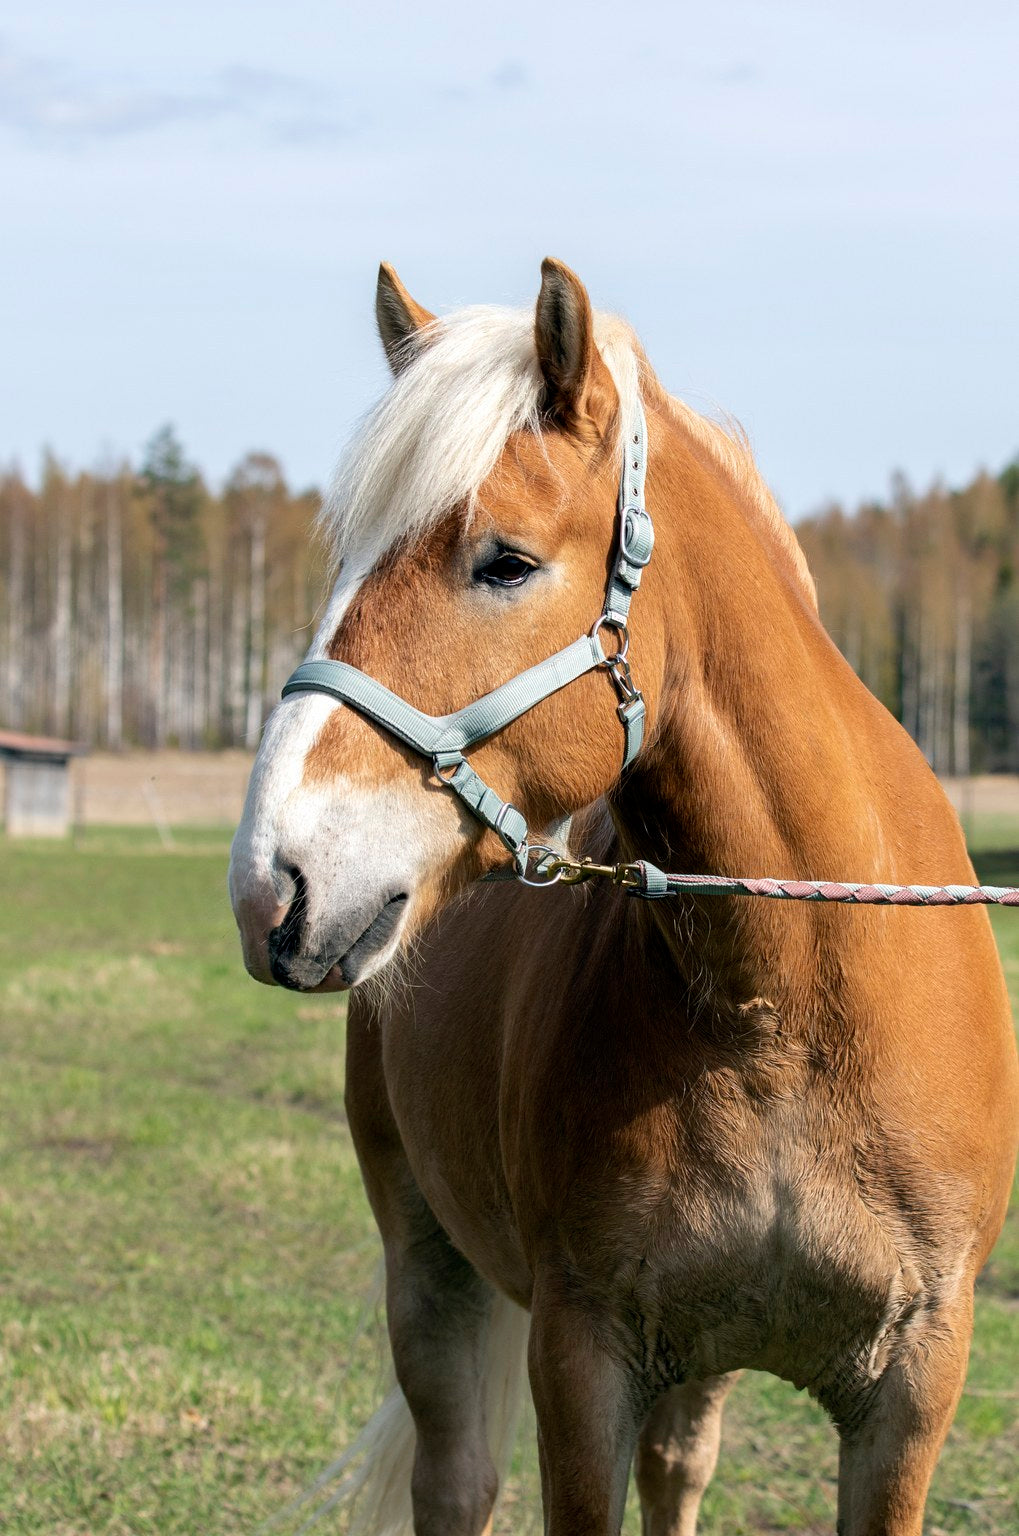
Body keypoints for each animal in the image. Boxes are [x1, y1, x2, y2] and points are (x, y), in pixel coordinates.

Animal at [230, 264, 1019, 1536]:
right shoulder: (580, 1356)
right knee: (457, 1482)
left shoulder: (910, 1390)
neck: (789, 997)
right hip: (429, 1269)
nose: (271, 882)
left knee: (677, 1464)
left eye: (503, 561)